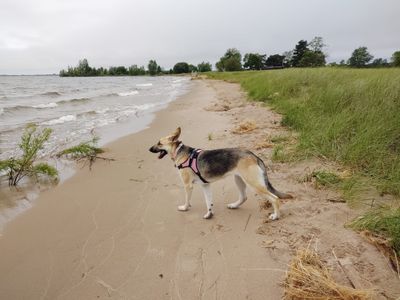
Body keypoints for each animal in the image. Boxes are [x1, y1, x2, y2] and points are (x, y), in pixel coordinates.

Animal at [148, 127, 292, 220]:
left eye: (159, 143)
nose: (149, 149)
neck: (180, 152)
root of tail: (253, 155)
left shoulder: (188, 185)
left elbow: (187, 200)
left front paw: (185, 208)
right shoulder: (205, 185)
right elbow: (209, 202)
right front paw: (209, 214)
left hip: (254, 184)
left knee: (275, 198)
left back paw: (275, 216)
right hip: (238, 179)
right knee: (244, 197)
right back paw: (234, 205)